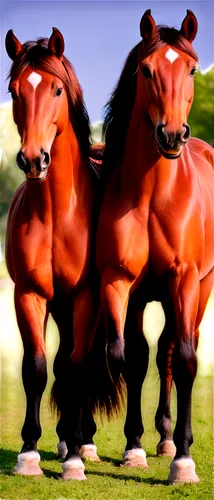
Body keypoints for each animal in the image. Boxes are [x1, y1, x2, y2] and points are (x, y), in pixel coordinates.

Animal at [4, 26, 122, 480]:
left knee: (81, 364)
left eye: (56, 89)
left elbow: (76, 367)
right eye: (14, 89)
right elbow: (37, 368)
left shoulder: (87, 297)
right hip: (59, 307)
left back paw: (82, 443)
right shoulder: (30, 295)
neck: (56, 212)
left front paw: (73, 459)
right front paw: (29, 453)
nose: (33, 159)